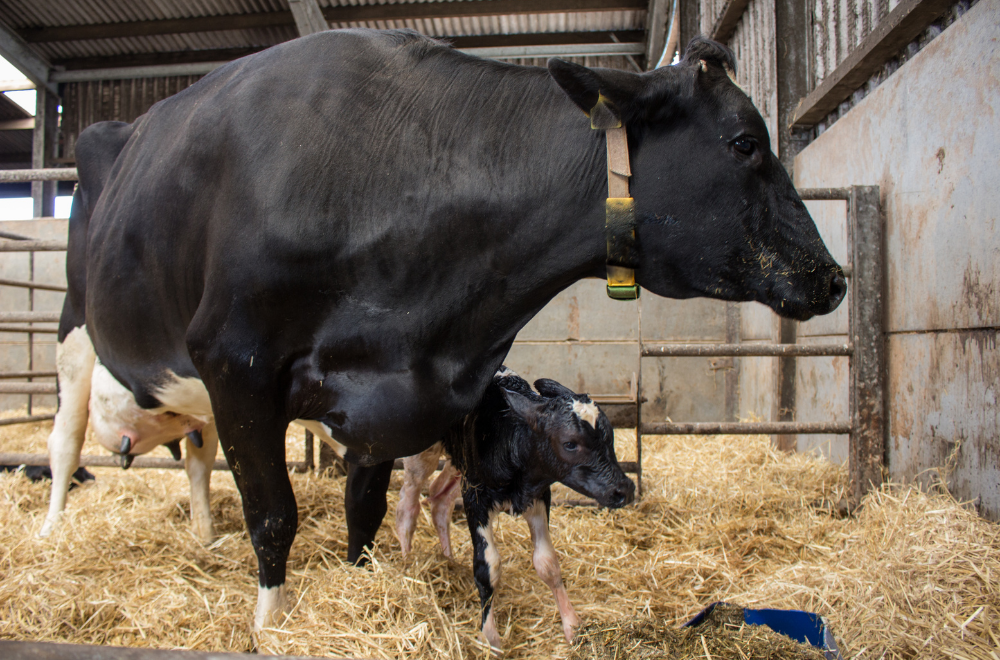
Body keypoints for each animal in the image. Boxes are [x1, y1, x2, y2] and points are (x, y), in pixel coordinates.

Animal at [394, 368, 628, 652]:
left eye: (610, 437)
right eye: (570, 443)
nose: (624, 489)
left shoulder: (538, 498)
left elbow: (548, 563)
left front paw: (571, 625)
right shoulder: (475, 499)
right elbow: (488, 567)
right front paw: (490, 637)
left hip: (459, 463)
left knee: (440, 497)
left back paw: (448, 560)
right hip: (421, 455)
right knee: (408, 505)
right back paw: (408, 563)